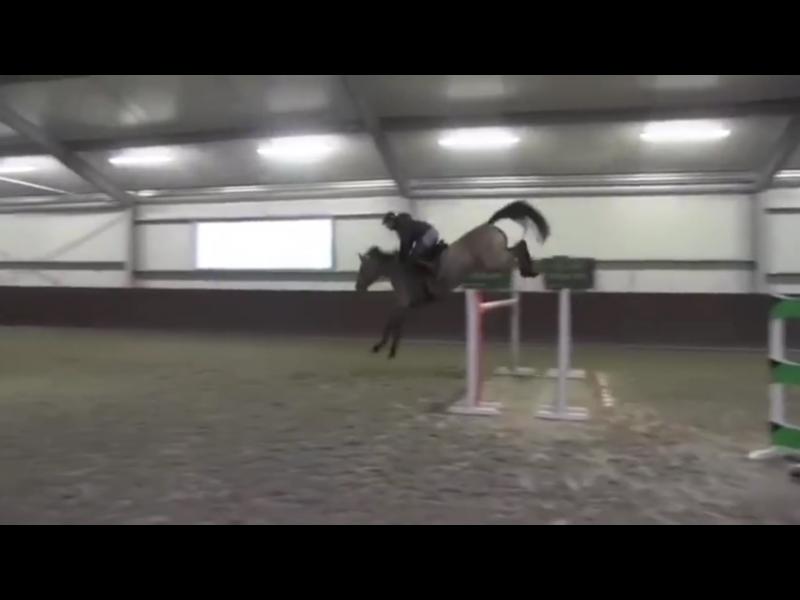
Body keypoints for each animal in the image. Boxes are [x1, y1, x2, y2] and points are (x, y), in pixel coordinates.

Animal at [355, 200, 549, 358]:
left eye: (363, 269)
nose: (358, 288)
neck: (398, 271)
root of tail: (489, 225)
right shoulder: (406, 305)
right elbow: (396, 325)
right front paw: (390, 349)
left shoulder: (403, 303)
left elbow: (390, 323)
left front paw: (381, 347)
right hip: (495, 259)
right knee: (518, 247)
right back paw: (529, 269)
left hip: (495, 262)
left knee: (518, 249)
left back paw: (528, 270)